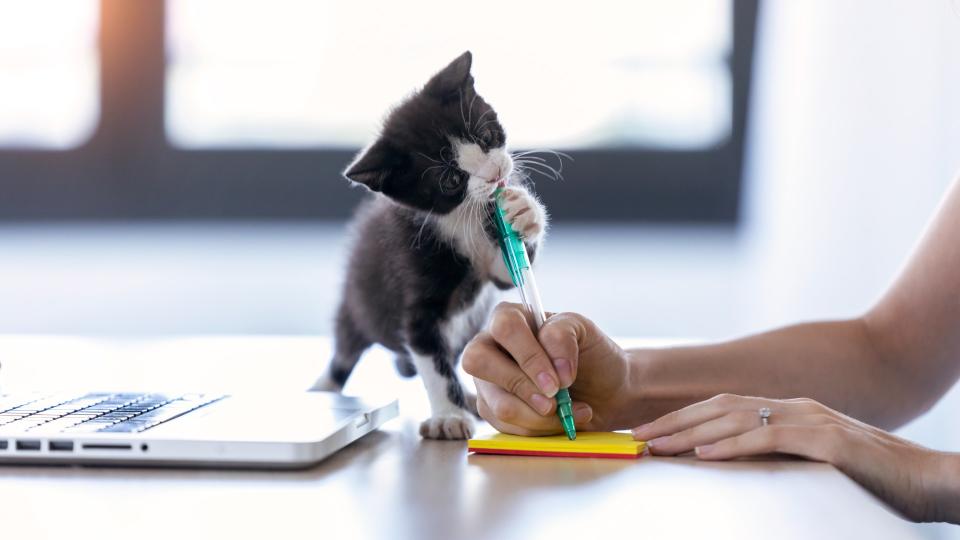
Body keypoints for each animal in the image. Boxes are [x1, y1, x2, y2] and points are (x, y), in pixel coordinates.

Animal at [310, 50, 548, 438]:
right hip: (355, 305)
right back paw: (322, 389)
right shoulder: (412, 285)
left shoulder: (495, 257)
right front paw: (448, 417)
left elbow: (507, 272)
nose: (496, 174)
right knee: (344, 353)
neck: (461, 219)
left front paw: (525, 211)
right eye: (451, 179)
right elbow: (433, 363)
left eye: (485, 136)